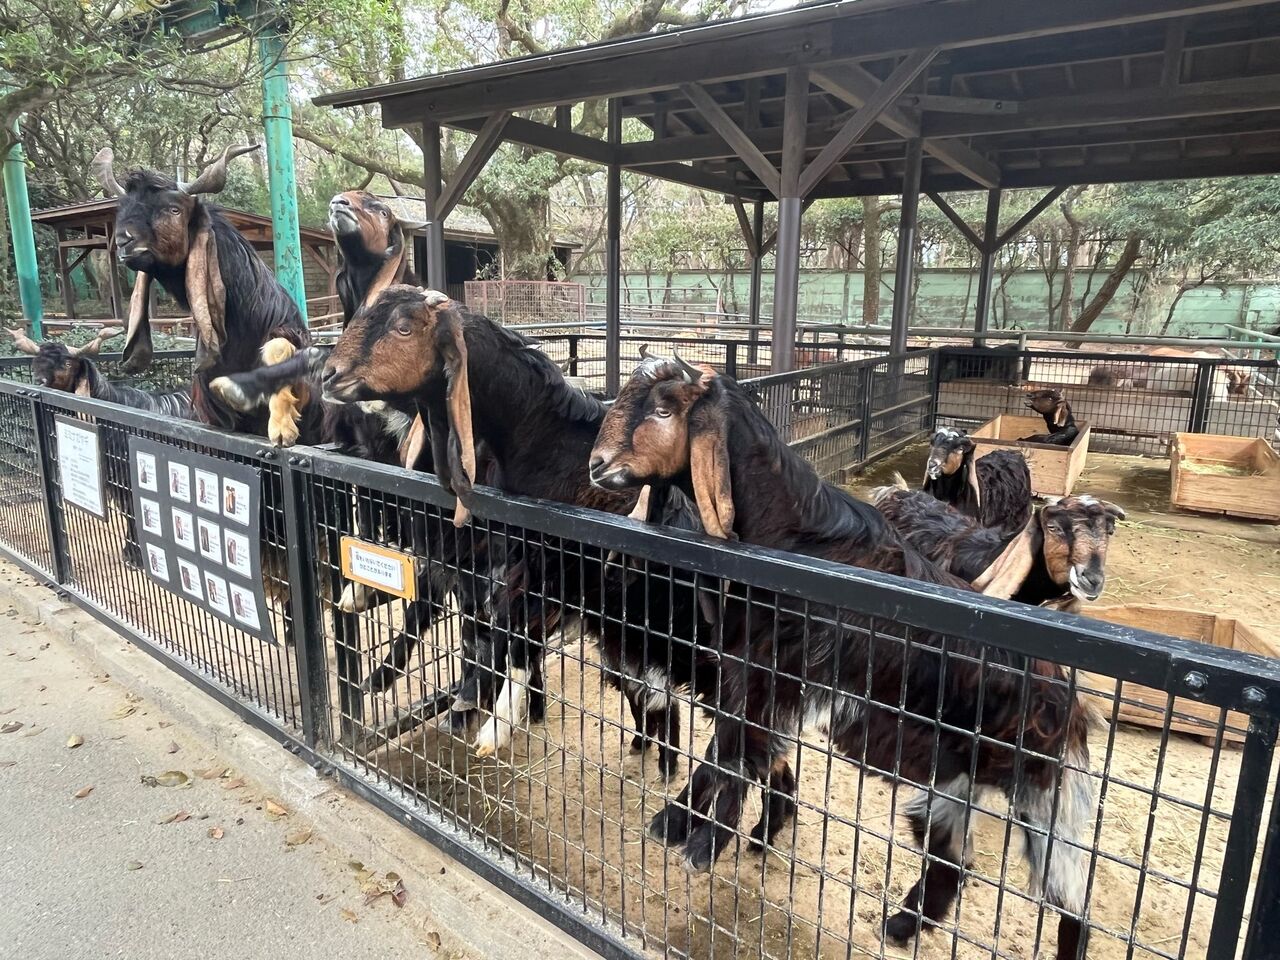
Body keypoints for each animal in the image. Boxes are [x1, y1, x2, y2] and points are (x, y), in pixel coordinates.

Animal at [589, 355, 1094, 960]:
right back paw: (900, 926)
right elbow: (730, 745)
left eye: (664, 408)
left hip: (1042, 798)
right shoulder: (747, 672)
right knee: (953, 861)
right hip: (952, 784)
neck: (792, 538)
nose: (596, 465)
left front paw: (701, 841)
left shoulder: (774, 677)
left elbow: (736, 750)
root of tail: (1066, 702)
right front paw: (684, 824)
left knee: (1070, 898)